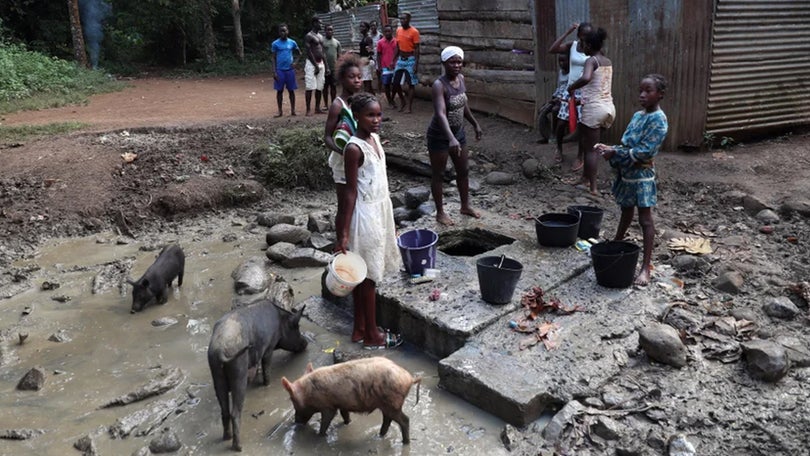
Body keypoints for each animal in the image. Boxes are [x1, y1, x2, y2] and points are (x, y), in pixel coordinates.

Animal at [207, 302, 308, 450]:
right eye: (297, 327)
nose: (306, 343)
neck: (280, 320)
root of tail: (220, 350)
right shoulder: (269, 348)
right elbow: (266, 367)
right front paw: (267, 384)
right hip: (239, 371)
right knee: (235, 412)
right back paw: (238, 447)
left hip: (216, 372)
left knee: (224, 411)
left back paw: (227, 437)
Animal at [280, 356, 420, 442]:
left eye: (293, 401)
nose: (296, 422)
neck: (308, 392)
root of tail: (409, 378)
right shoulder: (342, 404)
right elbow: (345, 415)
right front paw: (347, 423)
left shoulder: (328, 406)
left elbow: (326, 421)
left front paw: (319, 436)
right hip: (387, 405)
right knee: (387, 420)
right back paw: (380, 435)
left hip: (393, 403)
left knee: (405, 420)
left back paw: (405, 442)